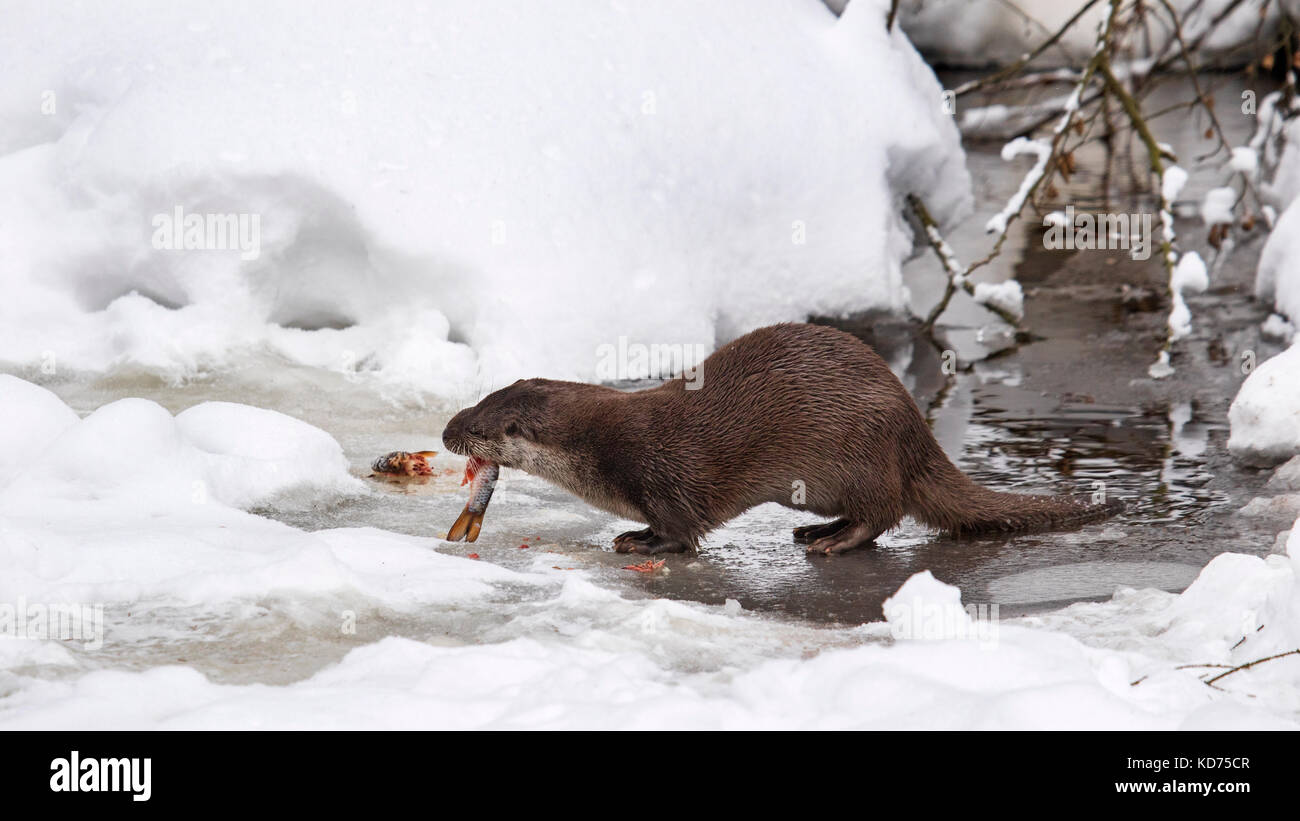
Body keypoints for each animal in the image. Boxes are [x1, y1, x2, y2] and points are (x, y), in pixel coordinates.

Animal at [441, 323, 1123, 555]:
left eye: (478, 428)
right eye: (474, 402)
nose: (446, 430)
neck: (601, 447)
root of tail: (914, 427)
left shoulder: (660, 474)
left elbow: (681, 531)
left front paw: (640, 541)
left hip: (857, 454)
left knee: (886, 513)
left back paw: (833, 540)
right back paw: (814, 532)